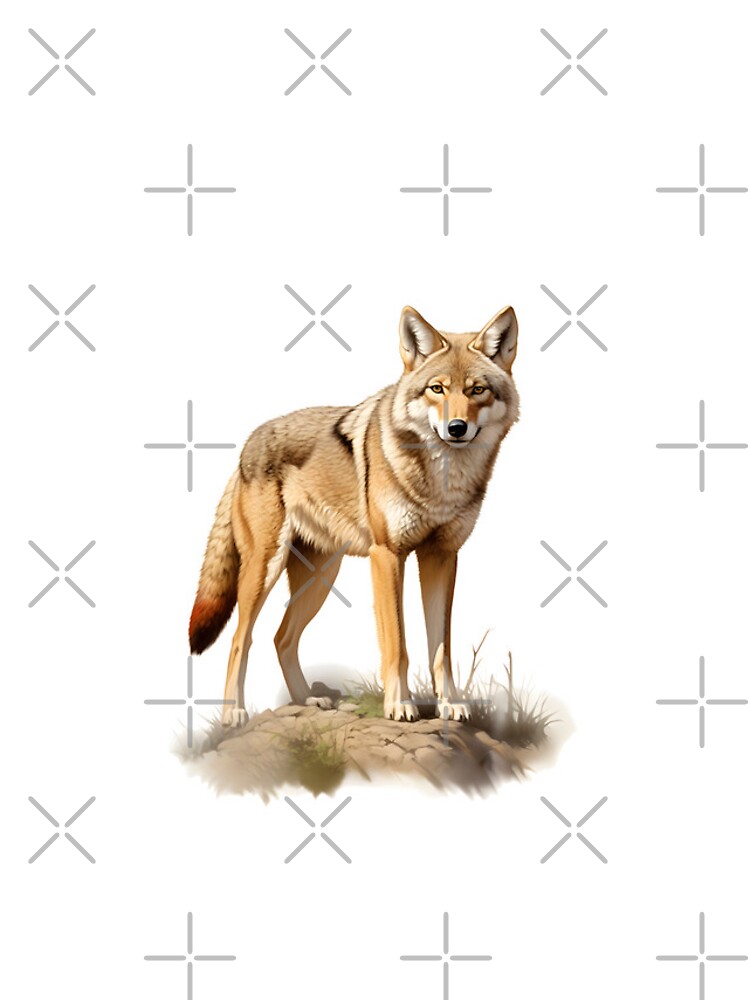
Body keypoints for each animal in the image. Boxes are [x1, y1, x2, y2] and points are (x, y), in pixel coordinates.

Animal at [189, 305, 520, 725]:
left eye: (477, 390)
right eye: (437, 389)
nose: (457, 428)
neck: (444, 481)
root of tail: (247, 446)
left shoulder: (442, 556)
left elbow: (440, 648)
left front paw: (449, 705)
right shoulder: (387, 555)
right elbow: (397, 643)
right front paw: (400, 705)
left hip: (322, 578)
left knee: (282, 638)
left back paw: (307, 702)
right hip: (264, 571)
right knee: (239, 638)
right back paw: (234, 712)